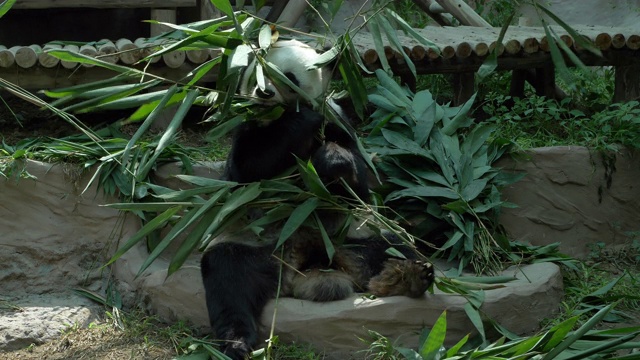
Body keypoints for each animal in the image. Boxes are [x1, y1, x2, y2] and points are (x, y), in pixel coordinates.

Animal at [200, 40, 436, 360]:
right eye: (257, 71)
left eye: (288, 76)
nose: (264, 93)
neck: (278, 114)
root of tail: (308, 261)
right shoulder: (247, 125)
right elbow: (248, 170)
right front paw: (301, 125)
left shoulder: (338, 121)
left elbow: (357, 181)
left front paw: (333, 160)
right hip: (255, 244)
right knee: (228, 277)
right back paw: (236, 343)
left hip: (355, 235)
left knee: (394, 247)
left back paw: (409, 276)